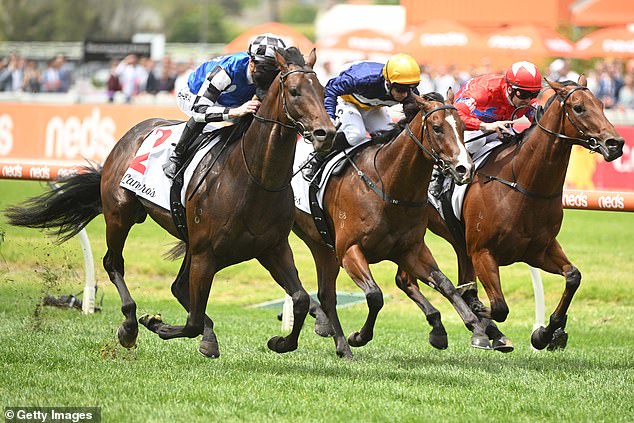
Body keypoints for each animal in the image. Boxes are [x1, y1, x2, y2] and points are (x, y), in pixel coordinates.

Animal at [4, 48, 336, 360]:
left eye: (322, 90)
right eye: (294, 91)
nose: (327, 133)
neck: (254, 177)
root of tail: (128, 137)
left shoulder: (272, 248)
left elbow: (300, 299)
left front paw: (281, 341)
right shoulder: (205, 253)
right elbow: (191, 321)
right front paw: (156, 324)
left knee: (178, 288)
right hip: (120, 213)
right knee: (114, 263)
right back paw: (130, 325)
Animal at [292, 90, 494, 358]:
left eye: (462, 127)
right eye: (437, 128)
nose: (465, 169)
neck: (388, 185)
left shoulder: (411, 250)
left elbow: (445, 284)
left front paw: (475, 328)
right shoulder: (348, 250)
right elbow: (375, 295)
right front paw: (359, 336)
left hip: (320, 246)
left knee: (327, 294)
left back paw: (334, 337)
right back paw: (338, 338)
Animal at [396, 75, 624, 352]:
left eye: (601, 105)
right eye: (579, 108)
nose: (616, 143)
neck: (523, 184)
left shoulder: (539, 250)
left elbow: (573, 276)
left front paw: (546, 333)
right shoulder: (483, 252)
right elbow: (498, 307)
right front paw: (481, 316)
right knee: (406, 280)